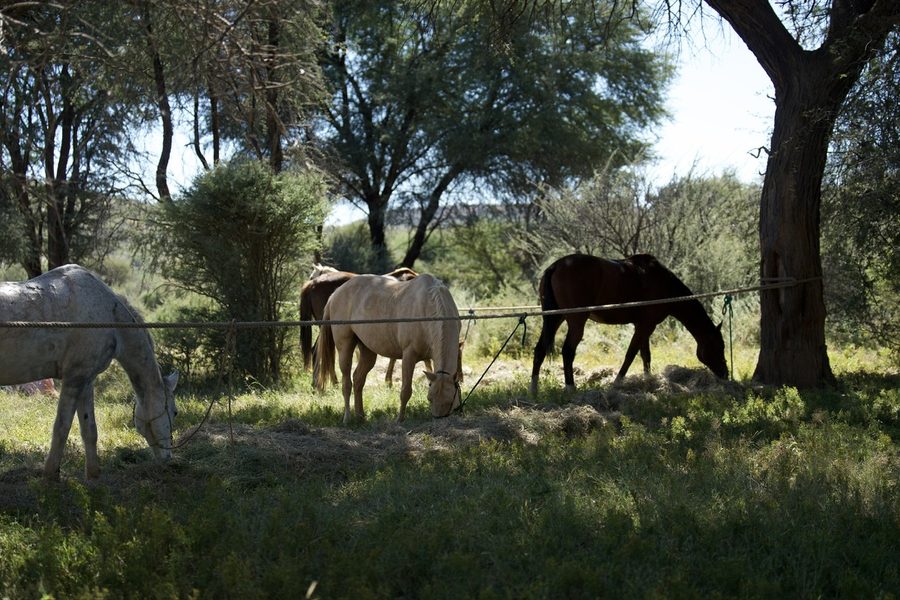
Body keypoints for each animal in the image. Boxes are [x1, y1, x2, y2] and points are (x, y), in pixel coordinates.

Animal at [0, 265, 178, 480]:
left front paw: (93, 475)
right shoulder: (74, 378)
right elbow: (62, 427)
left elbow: (89, 430)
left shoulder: (86, 380)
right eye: (175, 412)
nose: (168, 458)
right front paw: (50, 475)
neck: (110, 315)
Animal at [315, 274, 462, 424]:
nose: (439, 418)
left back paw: (360, 416)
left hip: (367, 351)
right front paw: (400, 419)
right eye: (429, 399)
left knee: (358, 379)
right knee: (346, 383)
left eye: (450, 401)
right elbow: (406, 391)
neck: (428, 305)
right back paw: (347, 418)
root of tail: (336, 293)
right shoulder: (409, 355)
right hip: (345, 347)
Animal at [530, 253, 727, 395]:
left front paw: (648, 381)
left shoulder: (643, 326)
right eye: (718, 347)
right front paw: (617, 383)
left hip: (554, 318)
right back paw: (571, 388)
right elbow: (631, 354)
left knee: (540, 350)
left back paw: (534, 390)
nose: (726, 374)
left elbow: (645, 355)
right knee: (568, 351)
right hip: (576, 321)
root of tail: (555, 266)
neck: (665, 285)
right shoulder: (646, 326)